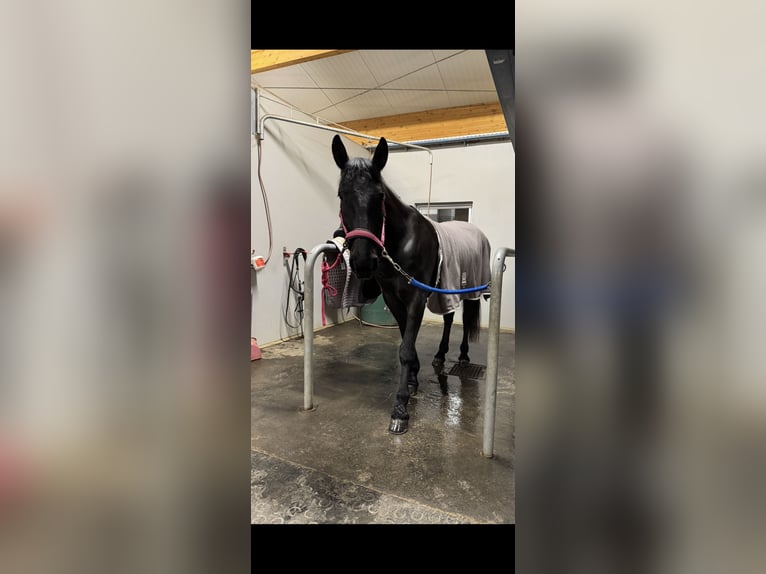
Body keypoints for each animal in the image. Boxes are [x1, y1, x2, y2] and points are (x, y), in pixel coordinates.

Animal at [332, 134, 491, 434]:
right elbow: (408, 340)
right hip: (446, 288)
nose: (363, 262)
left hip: (471, 289)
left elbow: (405, 349)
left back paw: (463, 355)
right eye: (341, 195)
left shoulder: (416, 296)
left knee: (466, 319)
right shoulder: (394, 298)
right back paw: (440, 355)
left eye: (380, 196)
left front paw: (400, 409)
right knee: (449, 318)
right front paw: (414, 380)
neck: (402, 241)